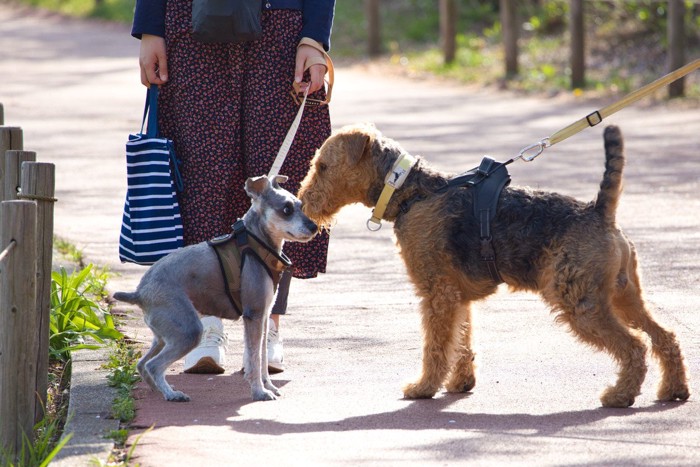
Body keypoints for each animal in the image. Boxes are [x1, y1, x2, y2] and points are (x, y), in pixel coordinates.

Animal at [114, 176, 318, 402]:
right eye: (286, 209)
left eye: (300, 206)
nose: (314, 227)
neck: (256, 243)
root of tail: (139, 293)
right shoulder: (254, 316)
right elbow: (254, 358)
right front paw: (259, 391)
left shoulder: (263, 317)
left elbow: (263, 356)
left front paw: (269, 386)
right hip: (188, 331)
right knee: (154, 365)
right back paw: (173, 394)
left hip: (164, 335)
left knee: (142, 364)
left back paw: (161, 390)